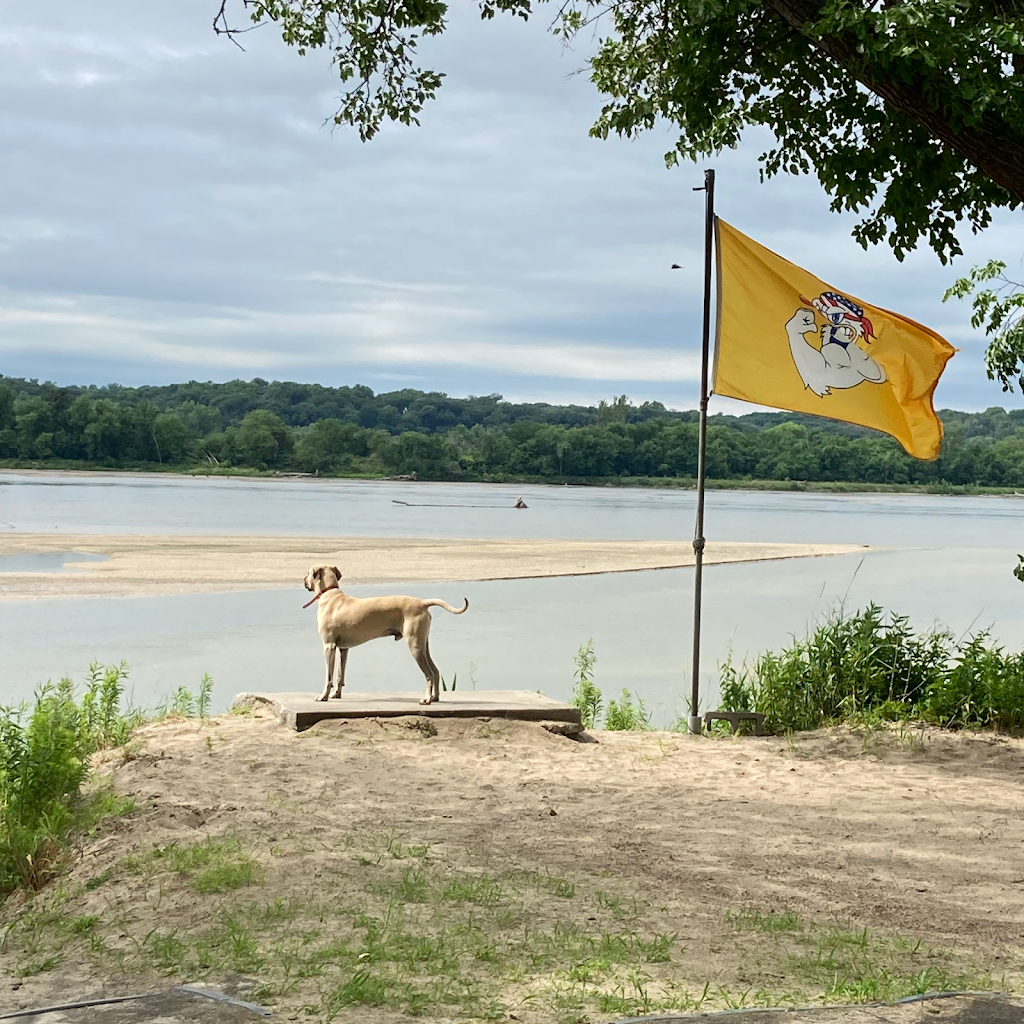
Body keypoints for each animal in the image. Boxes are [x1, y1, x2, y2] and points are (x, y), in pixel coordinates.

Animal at [299, 569, 468, 704]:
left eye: (308, 573)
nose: (303, 579)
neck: (329, 594)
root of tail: (422, 603)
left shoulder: (329, 646)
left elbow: (329, 677)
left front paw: (324, 696)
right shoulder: (344, 648)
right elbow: (340, 675)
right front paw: (336, 694)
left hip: (415, 646)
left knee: (429, 674)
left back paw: (426, 699)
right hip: (423, 645)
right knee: (436, 671)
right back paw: (435, 697)